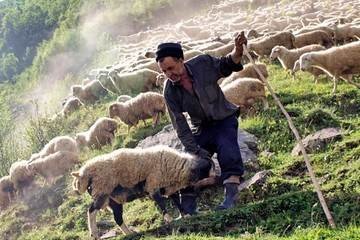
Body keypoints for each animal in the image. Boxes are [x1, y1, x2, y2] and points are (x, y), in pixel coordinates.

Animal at [71, 145, 211, 239]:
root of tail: (82, 174)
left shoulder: (167, 187)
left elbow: (177, 201)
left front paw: (184, 215)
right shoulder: (153, 185)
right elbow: (162, 204)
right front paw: (169, 219)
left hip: (113, 200)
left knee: (117, 218)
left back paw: (129, 233)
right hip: (101, 191)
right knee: (91, 210)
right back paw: (94, 234)